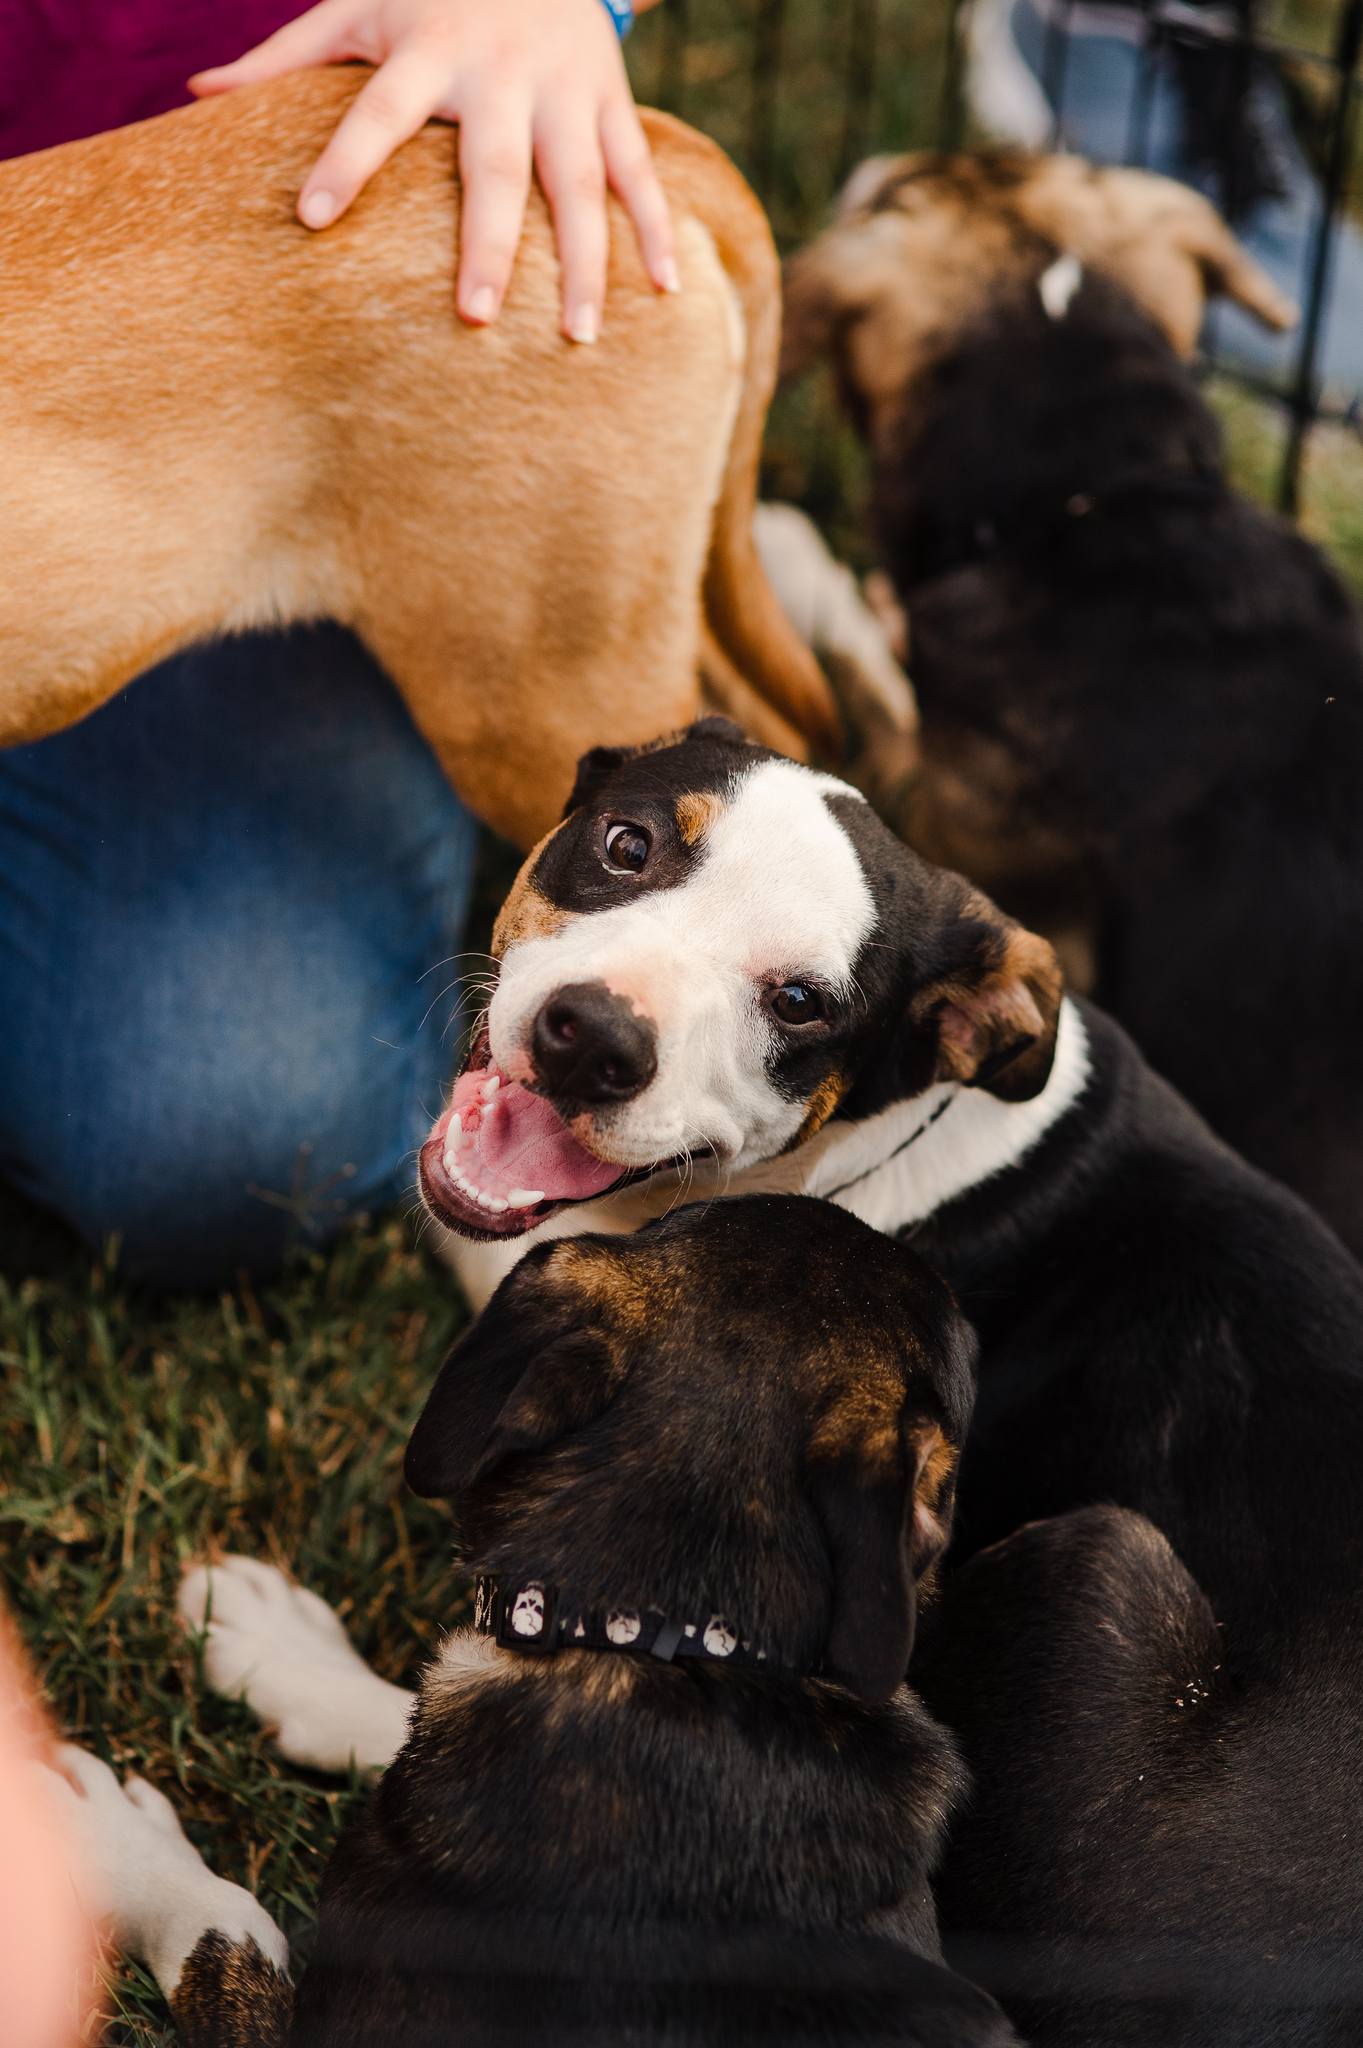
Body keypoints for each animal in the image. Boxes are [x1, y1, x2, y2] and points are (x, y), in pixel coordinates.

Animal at [773, 148, 1358, 1261]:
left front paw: (803, 562)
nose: (876, 162)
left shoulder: (942, 818)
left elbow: (863, 669)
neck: (1093, 493)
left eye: (906, 189)